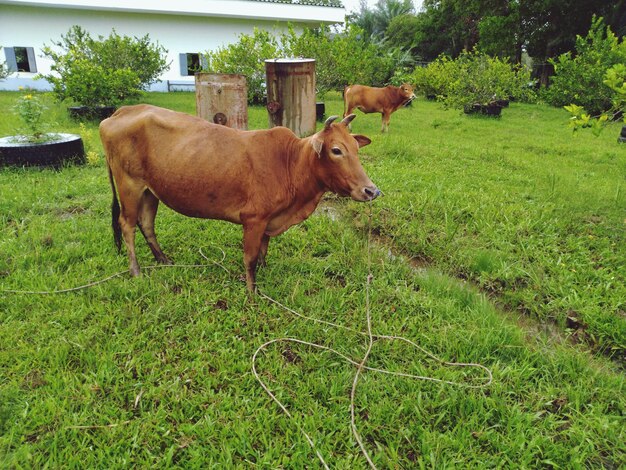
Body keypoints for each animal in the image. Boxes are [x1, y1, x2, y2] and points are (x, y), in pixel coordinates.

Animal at [100, 104, 378, 292]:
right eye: (336, 150)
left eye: (356, 148)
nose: (371, 191)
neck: (290, 163)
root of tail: (121, 112)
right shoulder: (253, 219)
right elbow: (250, 257)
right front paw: (252, 290)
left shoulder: (268, 219)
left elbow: (264, 249)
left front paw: (264, 271)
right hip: (129, 186)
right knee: (127, 225)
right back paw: (136, 271)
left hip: (150, 191)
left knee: (146, 223)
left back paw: (163, 259)